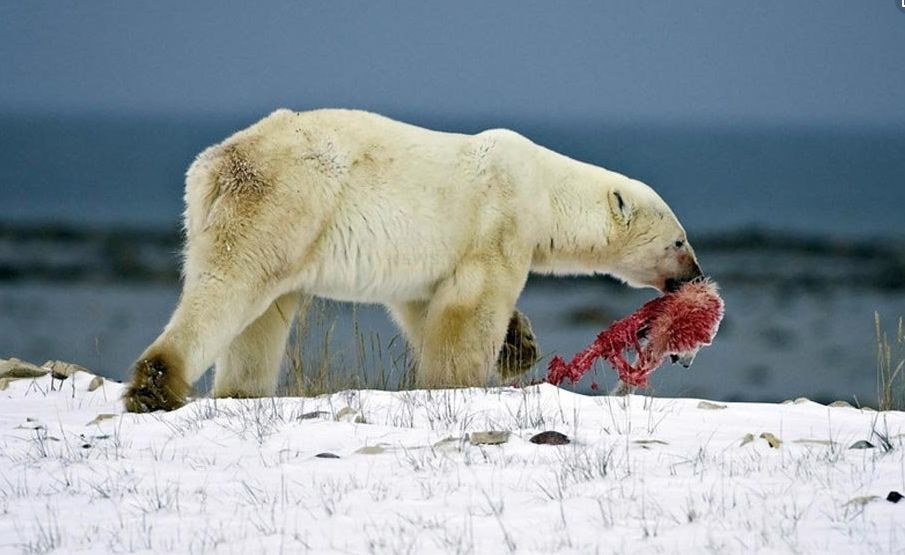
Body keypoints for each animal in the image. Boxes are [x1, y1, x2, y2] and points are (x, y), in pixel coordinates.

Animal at [122, 108, 700, 412]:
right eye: (678, 241)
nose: (694, 275)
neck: (545, 187)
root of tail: (215, 166)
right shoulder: (499, 217)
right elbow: (472, 306)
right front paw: (463, 382)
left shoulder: (432, 258)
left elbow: (424, 306)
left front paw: (519, 345)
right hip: (285, 201)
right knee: (230, 288)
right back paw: (155, 387)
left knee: (261, 317)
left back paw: (241, 392)